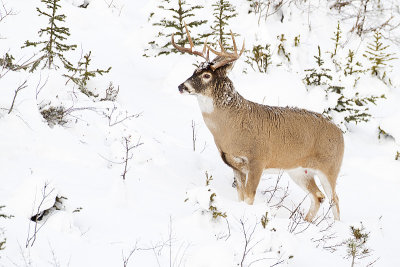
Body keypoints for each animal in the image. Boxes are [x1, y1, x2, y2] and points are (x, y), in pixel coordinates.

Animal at [173, 24, 346, 222]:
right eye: (194, 70)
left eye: (207, 75)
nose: (181, 86)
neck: (231, 127)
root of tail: (341, 134)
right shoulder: (236, 165)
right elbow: (240, 197)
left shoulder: (258, 160)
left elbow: (249, 197)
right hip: (300, 171)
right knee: (318, 196)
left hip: (330, 168)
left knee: (335, 199)